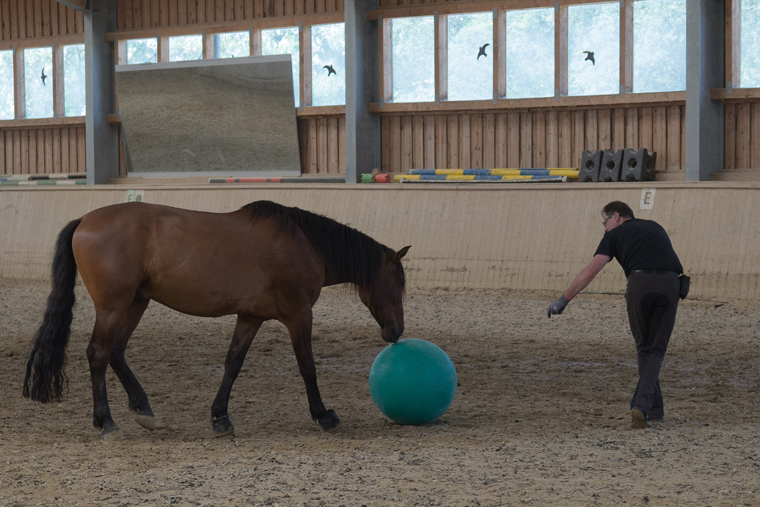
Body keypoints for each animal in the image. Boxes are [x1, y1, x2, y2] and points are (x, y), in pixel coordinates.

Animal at [23, 201, 410, 440]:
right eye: (398, 284)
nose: (395, 332)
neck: (304, 243)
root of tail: (84, 221)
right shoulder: (299, 314)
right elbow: (308, 366)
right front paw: (323, 415)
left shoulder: (251, 317)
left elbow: (233, 364)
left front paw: (220, 417)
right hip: (113, 307)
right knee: (98, 354)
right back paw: (107, 422)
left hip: (135, 303)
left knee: (116, 352)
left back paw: (142, 408)